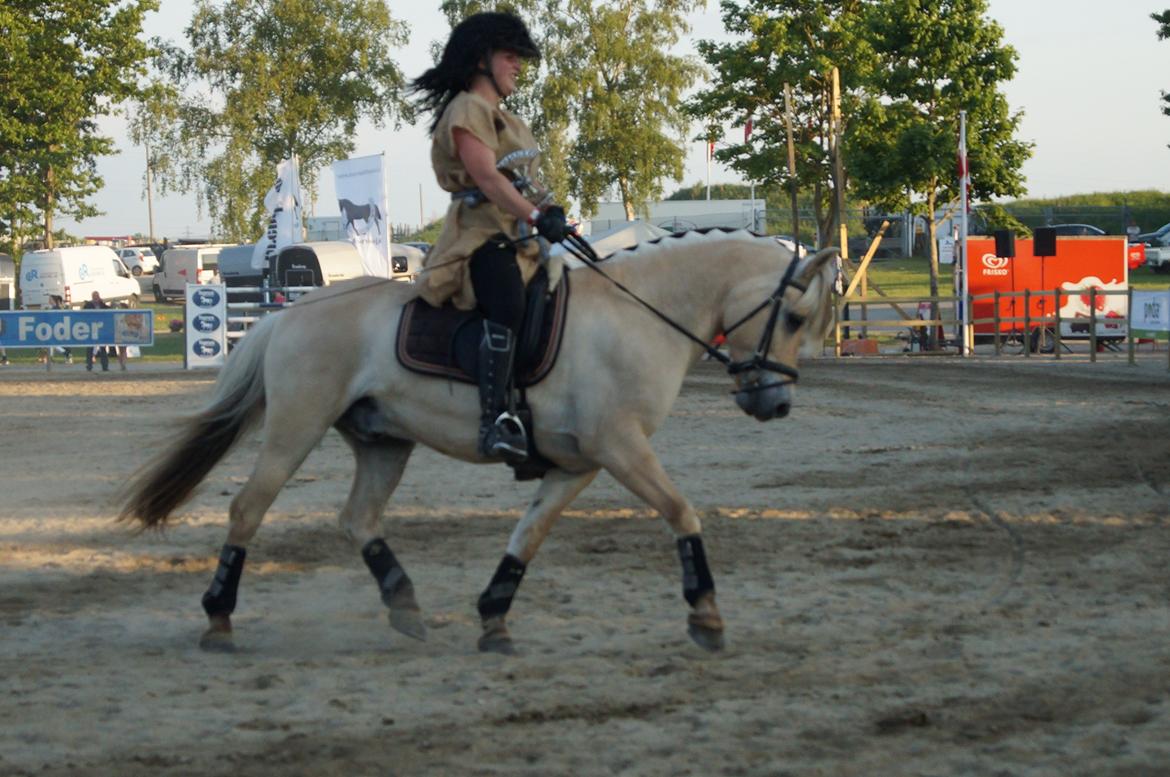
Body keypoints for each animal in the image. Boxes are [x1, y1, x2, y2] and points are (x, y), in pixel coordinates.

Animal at [121, 231, 842, 655]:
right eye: (795, 317)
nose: (775, 403)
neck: (640, 315)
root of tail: (289, 311)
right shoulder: (620, 447)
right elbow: (681, 511)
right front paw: (706, 612)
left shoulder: (579, 463)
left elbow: (530, 533)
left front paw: (494, 612)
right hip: (296, 426)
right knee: (248, 509)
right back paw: (219, 616)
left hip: (384, 442)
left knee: (358, 518)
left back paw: (405, 604)